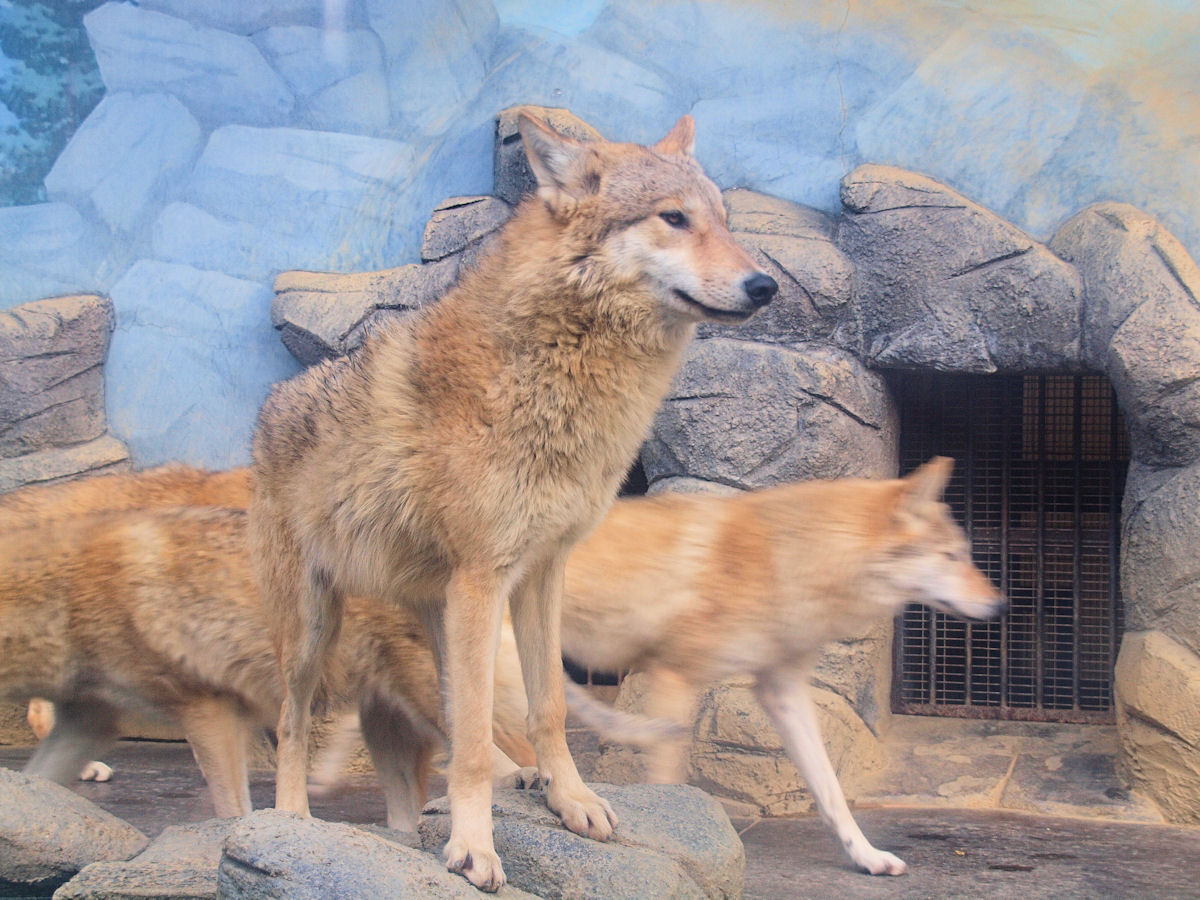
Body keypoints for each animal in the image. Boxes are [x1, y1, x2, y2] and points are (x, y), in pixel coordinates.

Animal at [0, 503, 535, 832]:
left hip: (438, 709)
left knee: (512, 759)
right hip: (386, 729)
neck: (63, 591)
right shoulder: (90, 718)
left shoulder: (209, 710)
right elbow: (36, 780)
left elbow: (232, 810)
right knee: (410, 818)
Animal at [249, 112, 776, 889]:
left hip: (436, 615)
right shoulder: (483, 577)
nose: (765, 284)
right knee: (294, 723)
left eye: (722, 222)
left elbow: (547, 707)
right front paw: (474, 847)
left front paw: (571, 799)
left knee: (450, 708)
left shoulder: (540, 574)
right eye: (674, 218)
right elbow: (467, 743)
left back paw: (515, 777)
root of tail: (269, 406)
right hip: (317, 629)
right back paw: (289, 821)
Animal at [556, 456, 1005, 876]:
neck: (785, 559)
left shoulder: (783, 692)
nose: (1001, 605)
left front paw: (868, 857)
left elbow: (831, 792)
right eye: (951, 556)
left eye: (965, 555)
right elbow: (668, 784)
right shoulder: (674, 676)